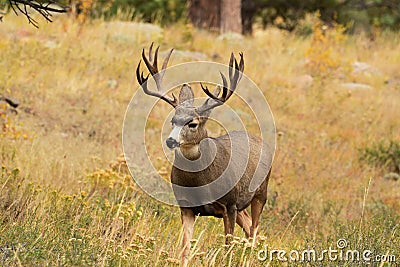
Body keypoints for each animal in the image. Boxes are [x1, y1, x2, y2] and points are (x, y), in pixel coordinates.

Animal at [136, 43, 274, 266]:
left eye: (192, 123)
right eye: (173, 120)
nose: (170, 141)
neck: (200, 183)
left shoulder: (229, 205)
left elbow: (227, 248)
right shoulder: (186, 207)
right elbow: (185, 249)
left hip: (261, 193)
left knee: (254, 231)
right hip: (242, 205)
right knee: (249, 228)